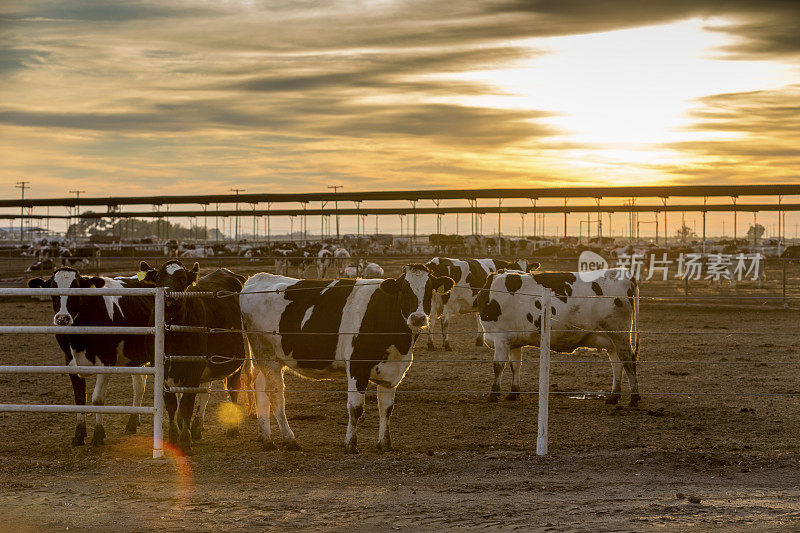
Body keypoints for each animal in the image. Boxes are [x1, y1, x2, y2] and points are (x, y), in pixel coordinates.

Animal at [28, 266, 155, 444]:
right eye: (52, 289)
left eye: (77, 288)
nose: (62, 318)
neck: (78, 341)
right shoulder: (70, 362)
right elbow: (80, 400)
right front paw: (79, 434)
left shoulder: (107, 361)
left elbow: (97, 399)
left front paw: (98, 434)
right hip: (135, 358)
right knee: (139, 386)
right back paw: (132, 423)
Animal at [139, 260, 248, 450]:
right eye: (158, 277)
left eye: (182, 279)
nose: (168, 293)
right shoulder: (162, 370)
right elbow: (171, 404)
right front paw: (174, 435)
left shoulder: (194, 368)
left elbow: (186, 404)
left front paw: (184, 439)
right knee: (205, 392)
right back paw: (197, 428)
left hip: (237, 360)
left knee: (234, 388)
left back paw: (232, 428)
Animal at [238, 264, 454, 450]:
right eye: (404, 290)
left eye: (429, 290)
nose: (418, 318)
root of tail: (258, 278)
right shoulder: (357, 367)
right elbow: (356, 408)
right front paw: (350, 444)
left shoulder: (392, 372)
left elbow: (386, 409)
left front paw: (385, 444)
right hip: (267, 356)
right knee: (276, 395)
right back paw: (290, 440)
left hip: (267, 358)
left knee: (260, 389)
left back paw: (266, 439)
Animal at [478, 268, 640, 406]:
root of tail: (624, 273)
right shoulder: (513, 340)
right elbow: (515, 366)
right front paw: (513, 393)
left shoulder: (500, 337)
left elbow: (498, 366)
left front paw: (493, 394)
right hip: (612, 340)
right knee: (617, 364)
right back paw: (614, 396)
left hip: (619, 334)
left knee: (629, 361)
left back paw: (634, 398)